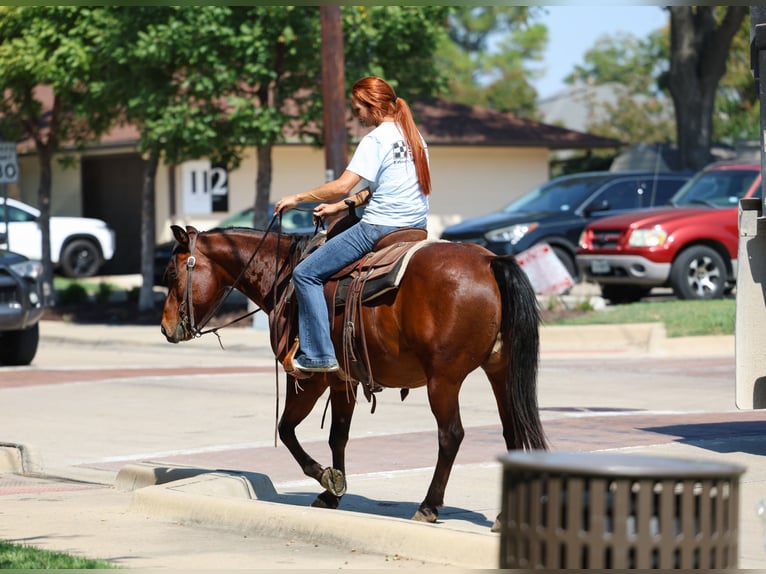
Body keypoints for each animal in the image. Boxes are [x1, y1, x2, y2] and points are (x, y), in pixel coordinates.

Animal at [159, 221, 547, 525]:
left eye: (172, 274)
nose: (165, 328)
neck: (284, 275)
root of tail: (490, 261)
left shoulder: (309, 379)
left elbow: (286, 430)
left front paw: (326, 478)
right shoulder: (342, 381)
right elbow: (338, 436)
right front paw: (333, 492)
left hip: (444, 380)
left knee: (450, 435)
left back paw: (428, 506)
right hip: (500, 371)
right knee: (512, 431)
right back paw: (504, 515)